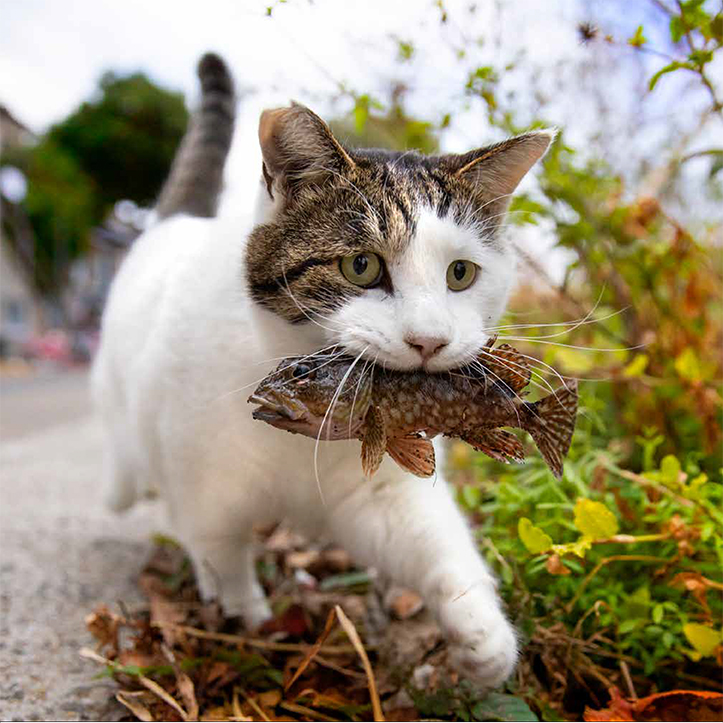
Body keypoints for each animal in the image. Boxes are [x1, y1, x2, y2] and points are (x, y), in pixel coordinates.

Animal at [90, 52, 556, 692]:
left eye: (461, 274)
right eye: (360, 266)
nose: (429, 341)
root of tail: (176, 223)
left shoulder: (382, 491)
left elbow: (435, 542)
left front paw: (483, 638)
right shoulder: (207, 492)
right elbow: (220, 552)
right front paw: (247, 616)